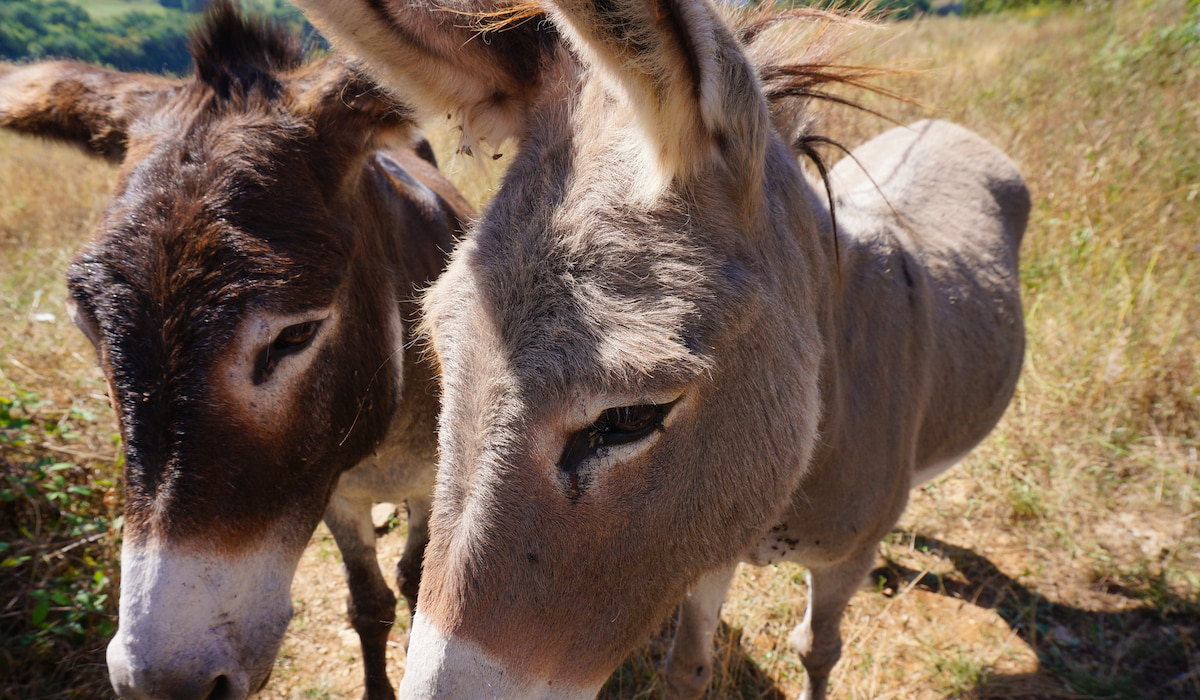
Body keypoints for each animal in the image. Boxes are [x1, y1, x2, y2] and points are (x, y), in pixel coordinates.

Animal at [0, 4, 472, 698]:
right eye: (89, 329)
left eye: (296, 334)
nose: (167, 682)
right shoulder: (334, 492)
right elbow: (368, 603)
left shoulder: (436, 484)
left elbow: (415, 583)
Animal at [293, 0, 1030, 697]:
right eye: (442, 359)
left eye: (630, 418)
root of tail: (951, 130)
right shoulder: (709, 542)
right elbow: (688, 668)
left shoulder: (840, 561)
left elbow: (819, 651)